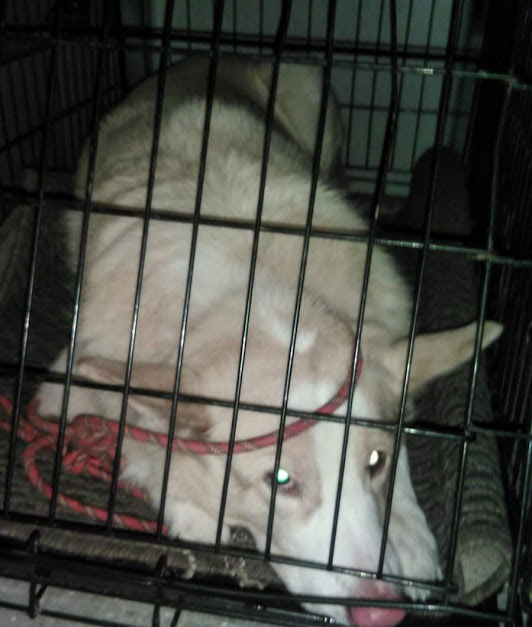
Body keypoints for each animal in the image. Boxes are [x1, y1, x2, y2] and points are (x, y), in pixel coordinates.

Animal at [34, 57, 502, 626]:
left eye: (375, 462)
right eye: (279, 480)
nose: (380, 616)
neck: (258, 289)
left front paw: (410, 534)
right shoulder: (67, 382)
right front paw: (188, 501)